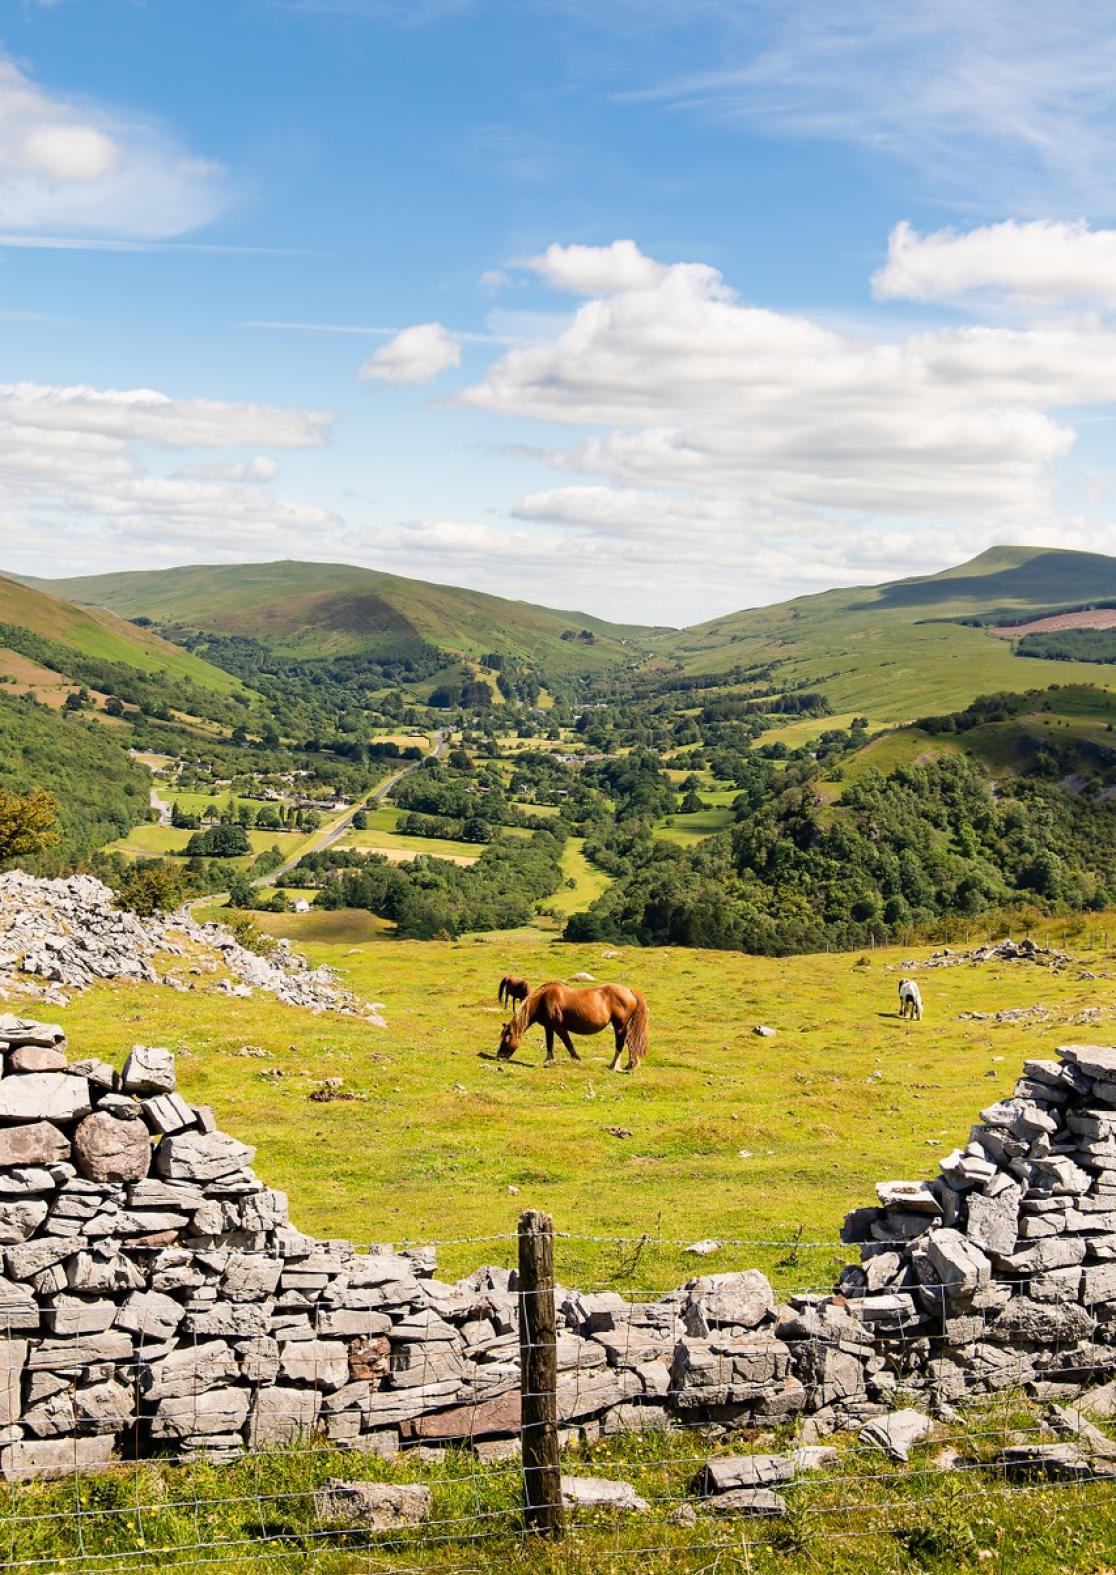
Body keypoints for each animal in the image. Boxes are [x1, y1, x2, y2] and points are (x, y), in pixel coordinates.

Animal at [494, 982, 648, 1071]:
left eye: (506, 1040)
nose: (498, 1057)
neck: (543, 1000)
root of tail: (629, 991)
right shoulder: (549, 1027)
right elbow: (549, 1044)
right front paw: (548, 1060)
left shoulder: (559, 1028)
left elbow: (568, 1044)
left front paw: (577, 1059)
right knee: (630, 1042)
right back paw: (630, 1065)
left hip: (620, 1025)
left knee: (621, 1043)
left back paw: (613, 1066)